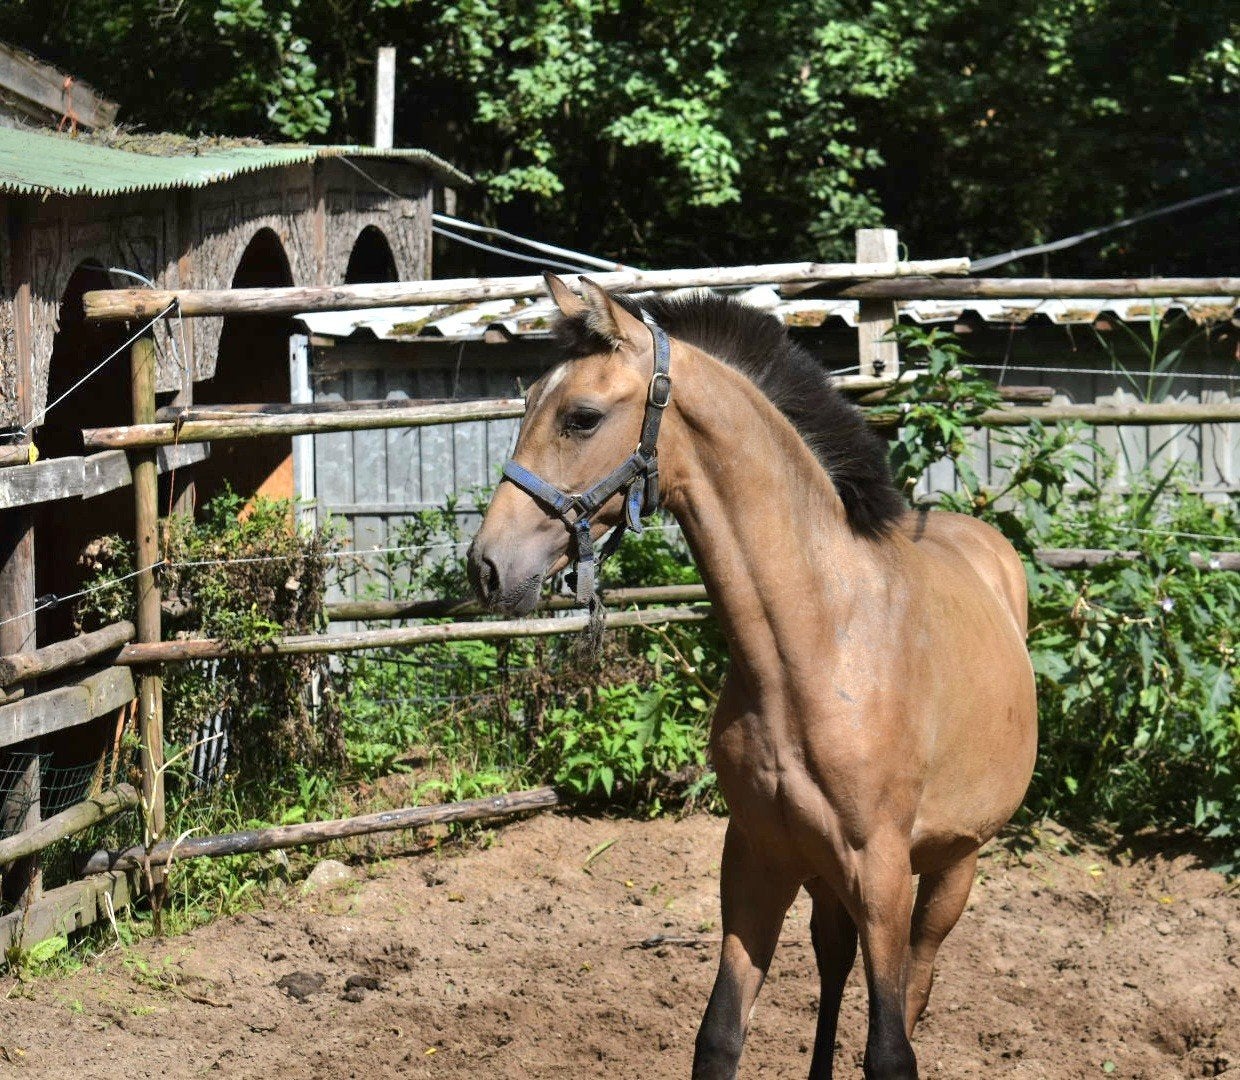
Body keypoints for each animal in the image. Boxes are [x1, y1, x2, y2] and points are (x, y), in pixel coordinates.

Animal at [467, 275, 1037, 1079]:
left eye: (581, 418)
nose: (487, 567)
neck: (820, 643)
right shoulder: (758, 859)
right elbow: (720, 1035)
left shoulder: (883, 873)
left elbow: (890, 1050)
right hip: (825, 872)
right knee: (833, 961)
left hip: (954, 864)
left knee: (917, 985)